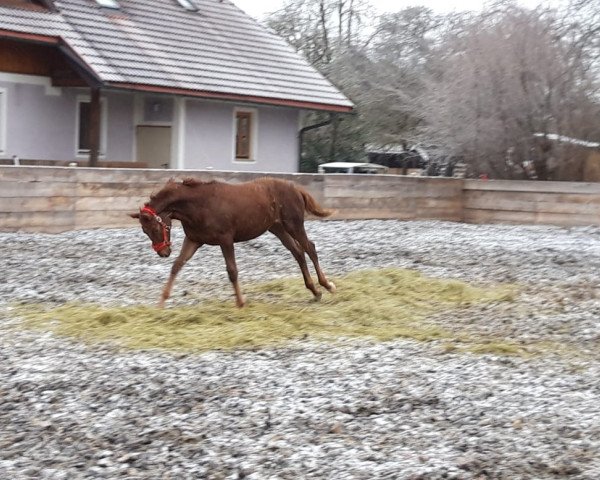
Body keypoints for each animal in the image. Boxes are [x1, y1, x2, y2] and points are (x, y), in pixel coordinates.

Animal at [129, 176, 336, 308]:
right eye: (144, 231)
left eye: (155, 229)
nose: (163, 252)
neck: (199, 205)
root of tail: (296, 188)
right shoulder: (194, 240)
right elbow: (177, 266)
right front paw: (161, 302)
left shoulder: (226, 239)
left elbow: (232, 271)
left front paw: (241, 302)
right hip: (277, 228)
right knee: (298, 252)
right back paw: (315, 291)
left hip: (293, 225)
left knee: (309, 248)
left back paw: (327, 285)